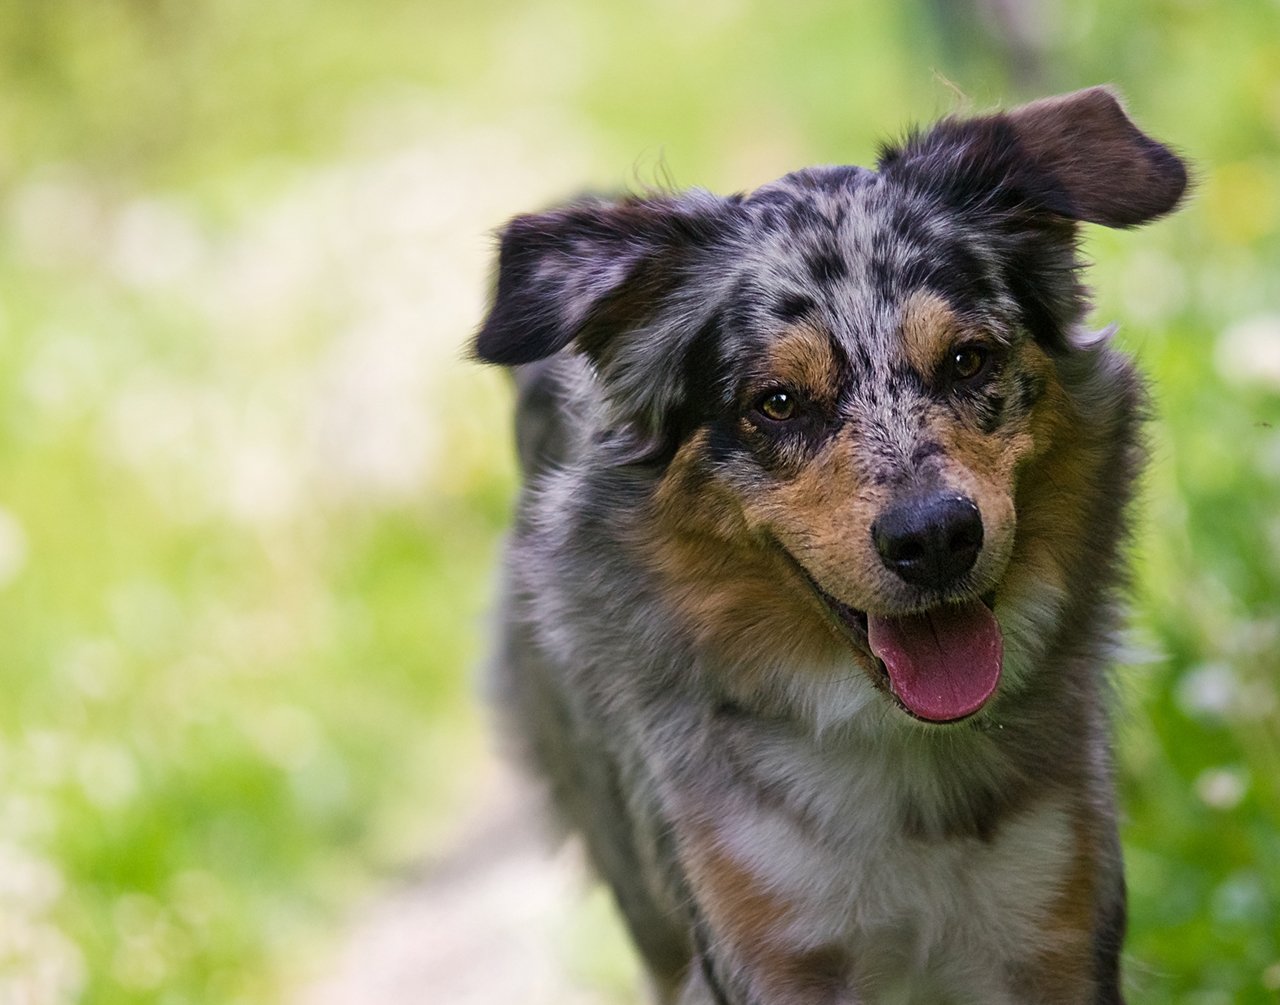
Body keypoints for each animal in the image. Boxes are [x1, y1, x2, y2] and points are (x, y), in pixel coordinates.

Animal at [473, 88, 1187, 1003]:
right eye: (777, 402)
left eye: (969, 359)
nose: (935, 537)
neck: (904, 759)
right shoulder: (760, 938)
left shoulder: (1055, 913)